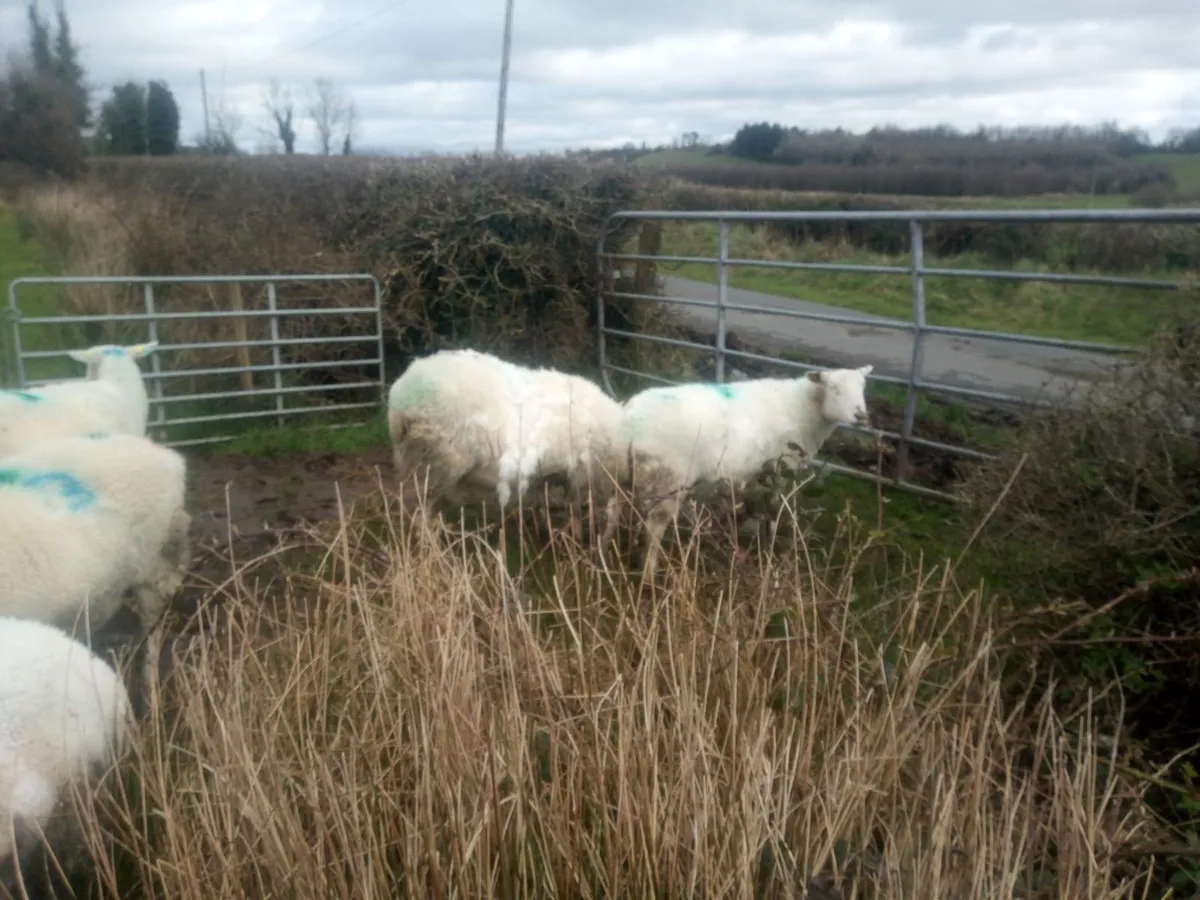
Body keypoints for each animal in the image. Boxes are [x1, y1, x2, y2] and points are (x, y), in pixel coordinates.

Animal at [387, 348, 627, 525]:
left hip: (416, 460)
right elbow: (574, 510)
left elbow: (542, 502)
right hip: (434, 462)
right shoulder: (579, 474)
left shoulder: (548, 473)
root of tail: (400, 401)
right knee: (419, 511)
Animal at [601, 365, 874, 579]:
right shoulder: (779, 468)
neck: (804, 408)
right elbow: (773, 507)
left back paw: (603, 549)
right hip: (667, 480)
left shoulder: (753, 471)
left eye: (862, 389)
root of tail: (630, 417)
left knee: (612, 511)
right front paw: (769, 541)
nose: (861, 415)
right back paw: (648, 574)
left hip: (621, 472)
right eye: (835, 389)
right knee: (653, 529)